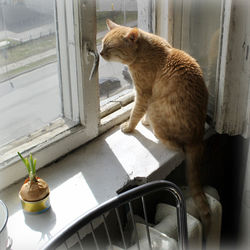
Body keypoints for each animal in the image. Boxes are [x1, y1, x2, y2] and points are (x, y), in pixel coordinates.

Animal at [100, 19, 210, 230]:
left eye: (109, 47)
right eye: (101, 44)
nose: (100, 53)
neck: (146, 49)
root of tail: (197, 137)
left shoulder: (143, 93)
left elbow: (135, 112)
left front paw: (129, 127)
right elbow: (138, 113)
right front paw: (142, 122)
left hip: (156, 110)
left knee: (176, 146)